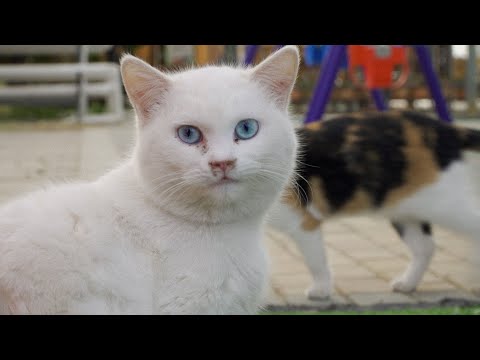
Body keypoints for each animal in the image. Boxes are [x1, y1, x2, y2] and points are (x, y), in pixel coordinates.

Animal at [268, 110, 480, 300]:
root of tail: (445, 129)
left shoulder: (303, 222)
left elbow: (315, 260)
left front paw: (321, 290)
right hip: (405, 209)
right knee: (425, 246)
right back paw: (408, 283)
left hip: (445, 203)